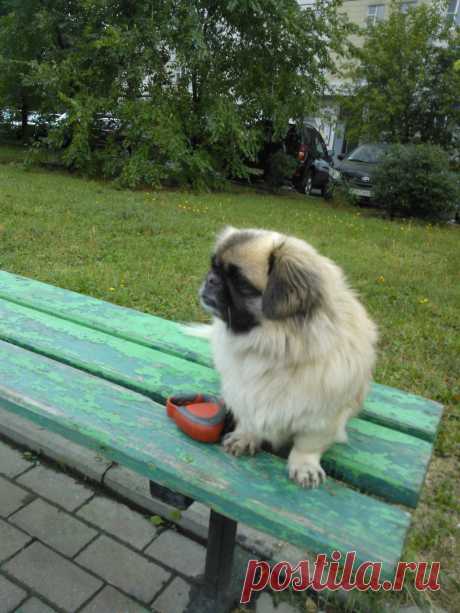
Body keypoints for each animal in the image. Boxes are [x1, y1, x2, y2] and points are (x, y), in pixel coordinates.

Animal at [199, 225, 378, 488]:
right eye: (213, 266)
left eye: (240, 282)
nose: (210, 279)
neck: (272, 346)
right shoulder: (243, 395)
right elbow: (249, 419)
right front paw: (245, 436)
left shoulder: (323, 418)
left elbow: (307, 446)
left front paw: (304, 467)